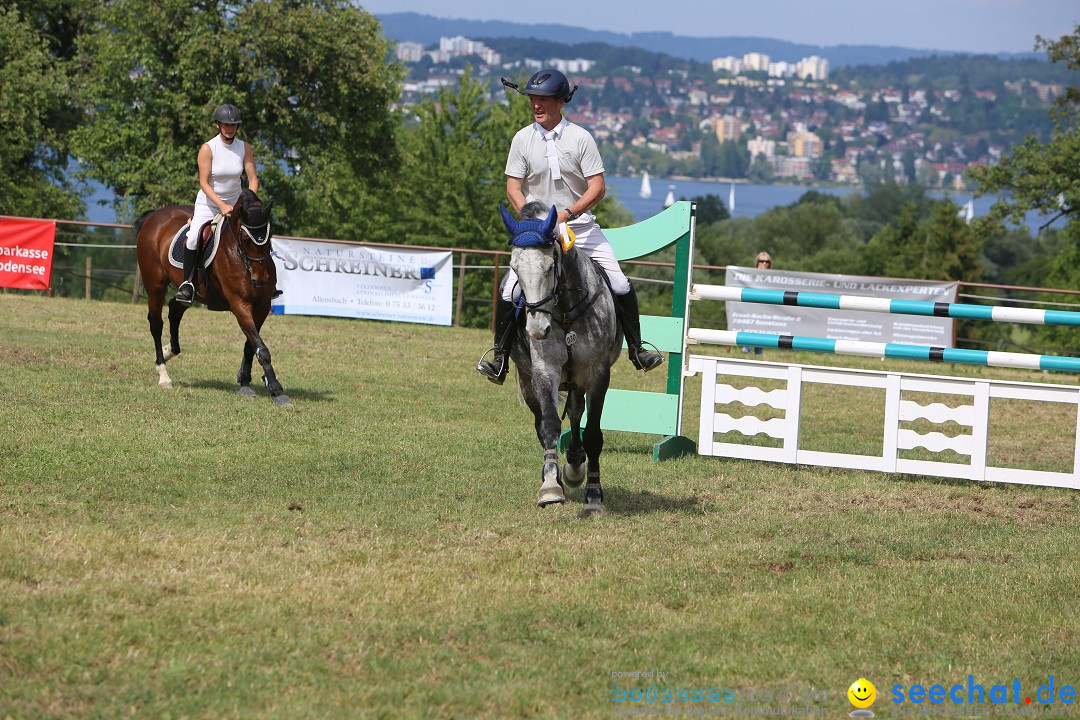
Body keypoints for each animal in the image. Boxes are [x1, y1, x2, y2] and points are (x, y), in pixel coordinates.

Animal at [133, 188, 293, 405]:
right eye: (245, 237)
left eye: (269, 235)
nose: (260, 279)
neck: (239, 255)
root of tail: (154, 216)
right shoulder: (239, 304)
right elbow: (261, 348)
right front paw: (276, 388)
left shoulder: (262, 306)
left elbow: (251, 344)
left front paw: (246, 381)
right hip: (155, 286)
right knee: (156, 324)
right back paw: (163, 373)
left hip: (189, 291)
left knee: (175, 308)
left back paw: (169, 351)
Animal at [498, 202, 622, 511]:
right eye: (515, 268)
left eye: (550, 267)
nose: (536, 330)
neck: (564, 311)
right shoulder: (544, 372)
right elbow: (550, 425)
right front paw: (551, 487)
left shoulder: (598, 374)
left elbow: (593, 434)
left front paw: (594, 494)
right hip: (529, 380)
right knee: (542, 422)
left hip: (577, 380)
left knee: (577, 414)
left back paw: (576, 465)